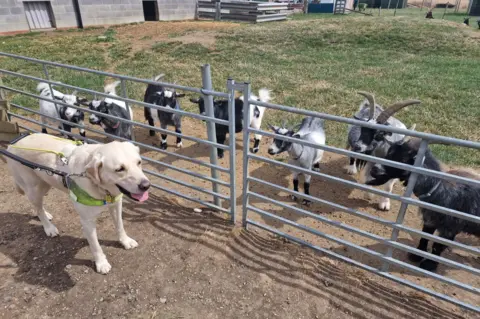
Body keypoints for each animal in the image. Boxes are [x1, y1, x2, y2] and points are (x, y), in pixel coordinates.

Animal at [4, 134, 150, 276]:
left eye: (139, 162)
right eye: (119, 169)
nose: (146, 186)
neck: (99, 187)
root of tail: (12, 144)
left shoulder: (116, 205)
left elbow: (120, 226)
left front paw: (125, 241)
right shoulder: (87, 221)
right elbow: (95, 246)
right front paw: (101, 263)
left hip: (45, 183)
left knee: (38, 206)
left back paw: (47, 214)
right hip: (34, 188)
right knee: (37, 207)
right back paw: (49, 228)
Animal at [366, 138, 478, 272]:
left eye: (401, 159)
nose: (373, 169)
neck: (438, 188)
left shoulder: (450, 227)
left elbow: (438, 246)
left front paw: (429, 265)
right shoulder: (430, 219)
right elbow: (424, 237)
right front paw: (416, 256)